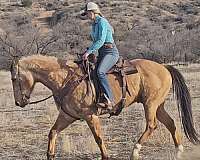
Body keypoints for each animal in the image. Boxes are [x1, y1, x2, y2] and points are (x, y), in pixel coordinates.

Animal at [10, 54, 199, 159]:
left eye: (14, 78)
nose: (19, 102)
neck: (66, 79)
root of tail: (164, 67)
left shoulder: (90, 116)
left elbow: (98, 138)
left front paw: (106, 156)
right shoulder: (67, 116)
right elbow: (53, 132)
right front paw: (50, 155)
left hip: (150, 104)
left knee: (152, 125)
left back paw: (135, 152)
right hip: (158, 105)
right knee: (171, 124)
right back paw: (179, 152)